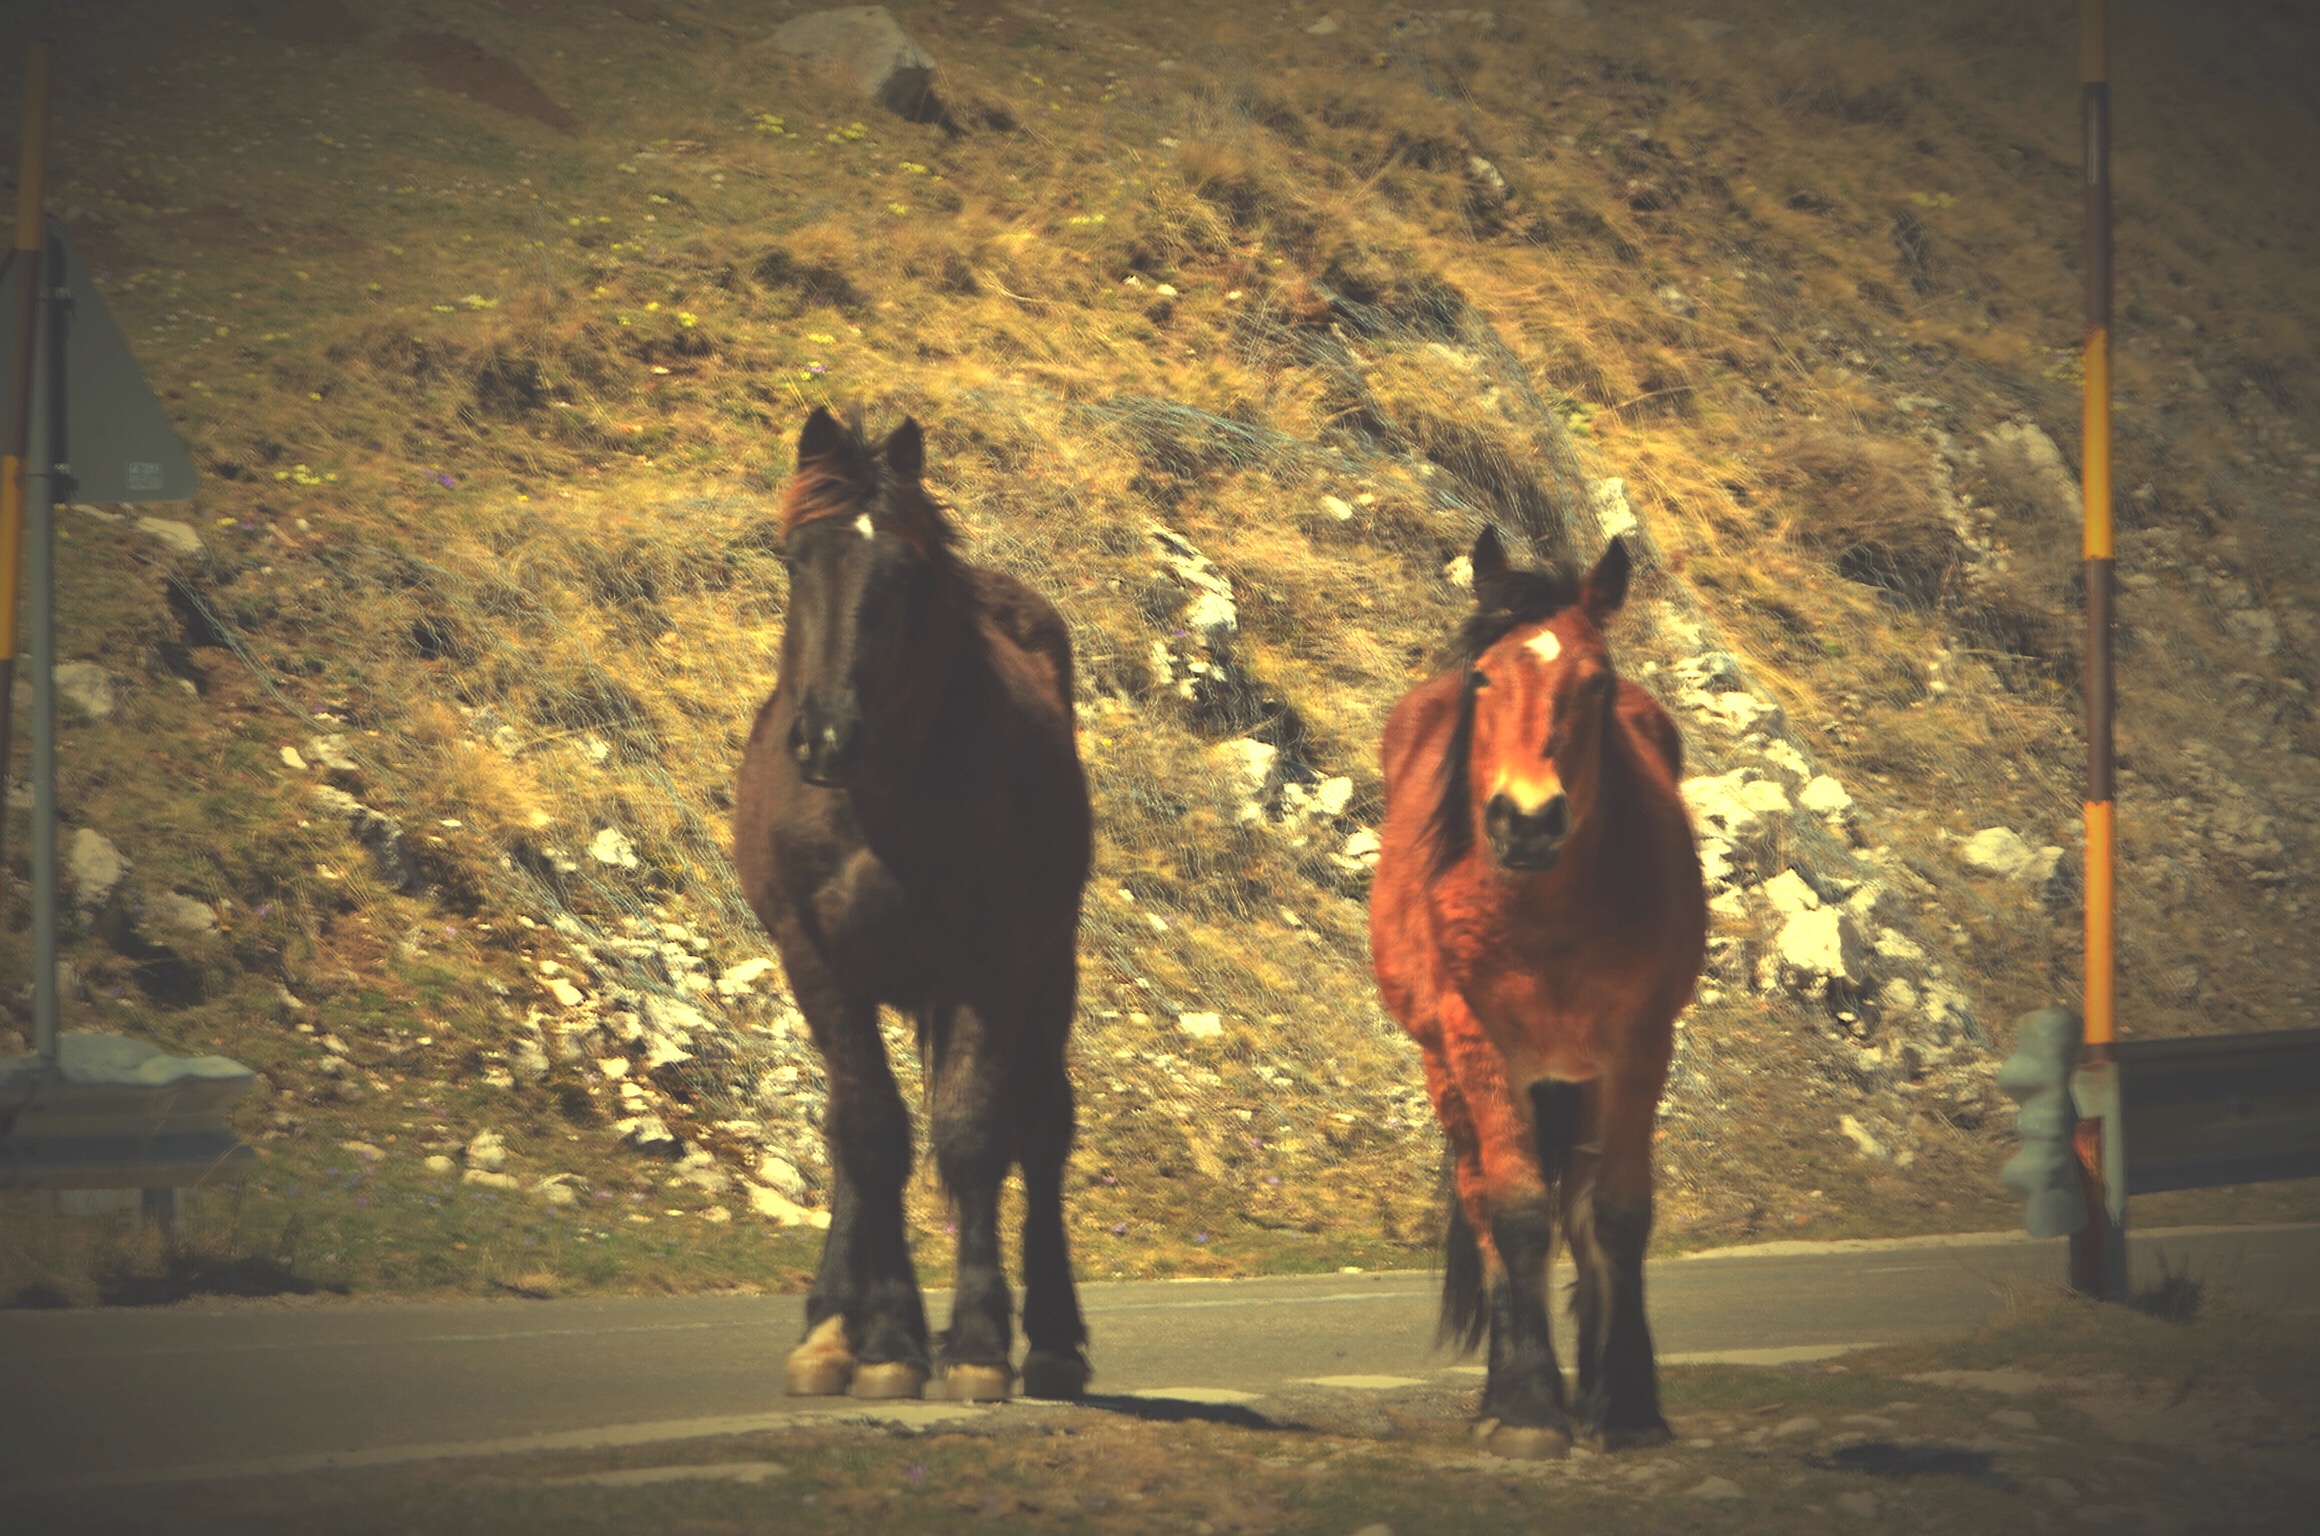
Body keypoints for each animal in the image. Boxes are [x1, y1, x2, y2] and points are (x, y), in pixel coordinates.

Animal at [733, 406, 1094, 1404]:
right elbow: (870, 1136)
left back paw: (1054, 1338)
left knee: (1043, 1124)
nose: (824, 738)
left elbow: (973, 1137)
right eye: (794, 559)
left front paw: (974, 1343)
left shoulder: (989, 968)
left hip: (1050, 968)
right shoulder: (813, 959)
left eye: (904, 572)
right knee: (853, 1131)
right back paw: (831, 1330)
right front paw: (886, 1340)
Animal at [1369, 526, 1705, 1459]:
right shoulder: (1480, 1043)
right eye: (1485, 679)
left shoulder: (1639, 1045)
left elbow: (1617, 1215)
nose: (1526, 820)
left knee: (1585, 1214)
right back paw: (1505, 1396)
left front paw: (1626, 1407)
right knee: (1485, 1204)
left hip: (1579, 1077)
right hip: (1447, 1070)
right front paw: (1526, 1412)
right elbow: (1518, 1212)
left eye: (1597, 683)